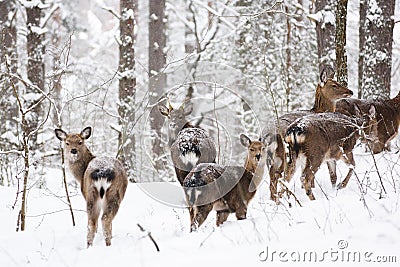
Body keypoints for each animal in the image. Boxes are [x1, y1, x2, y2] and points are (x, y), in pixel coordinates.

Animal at [262, 67, 354, 203]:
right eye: (334, 85)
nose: (350, 91)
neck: (318, 110)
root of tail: (267, 135)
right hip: (285, 156)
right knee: (281, 176)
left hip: (272, 158)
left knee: (275, 177)